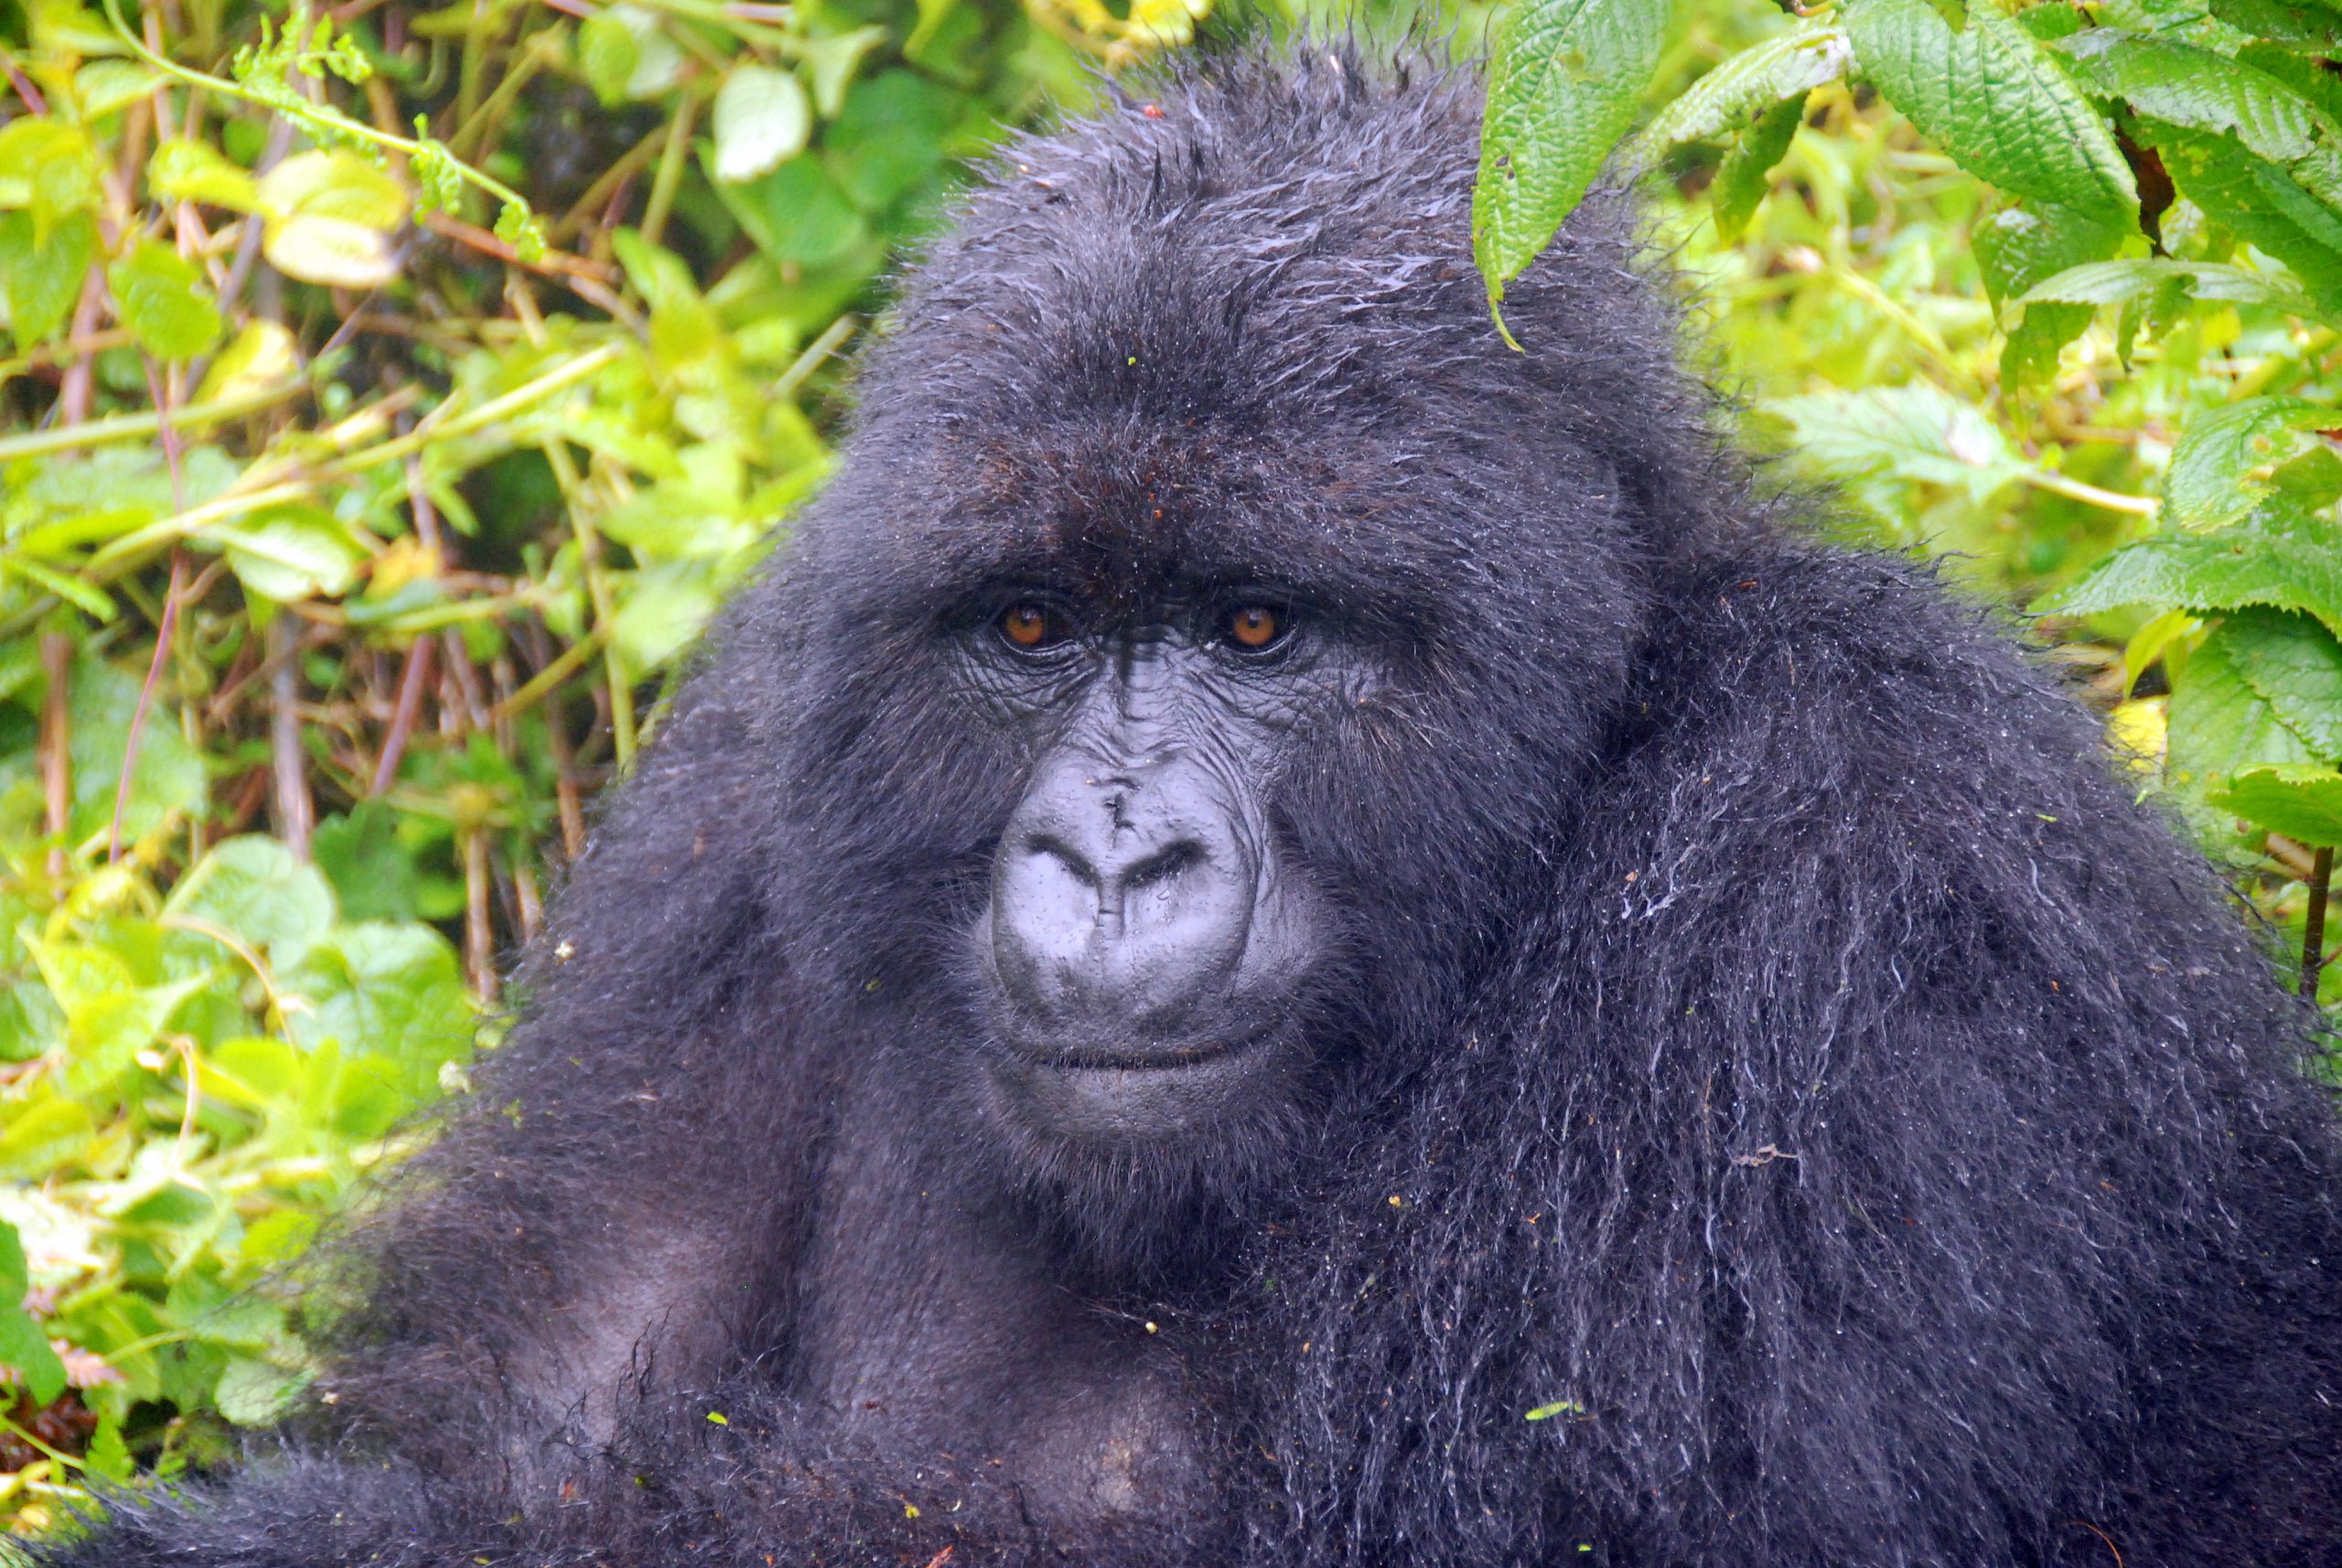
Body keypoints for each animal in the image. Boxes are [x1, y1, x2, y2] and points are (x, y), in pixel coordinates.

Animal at [32, 37, 2342, 1568]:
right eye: (1030, 625)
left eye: (1256, 627)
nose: (1113, 851)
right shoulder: (749, 768)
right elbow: (507, 1420)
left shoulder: (1847, 863)